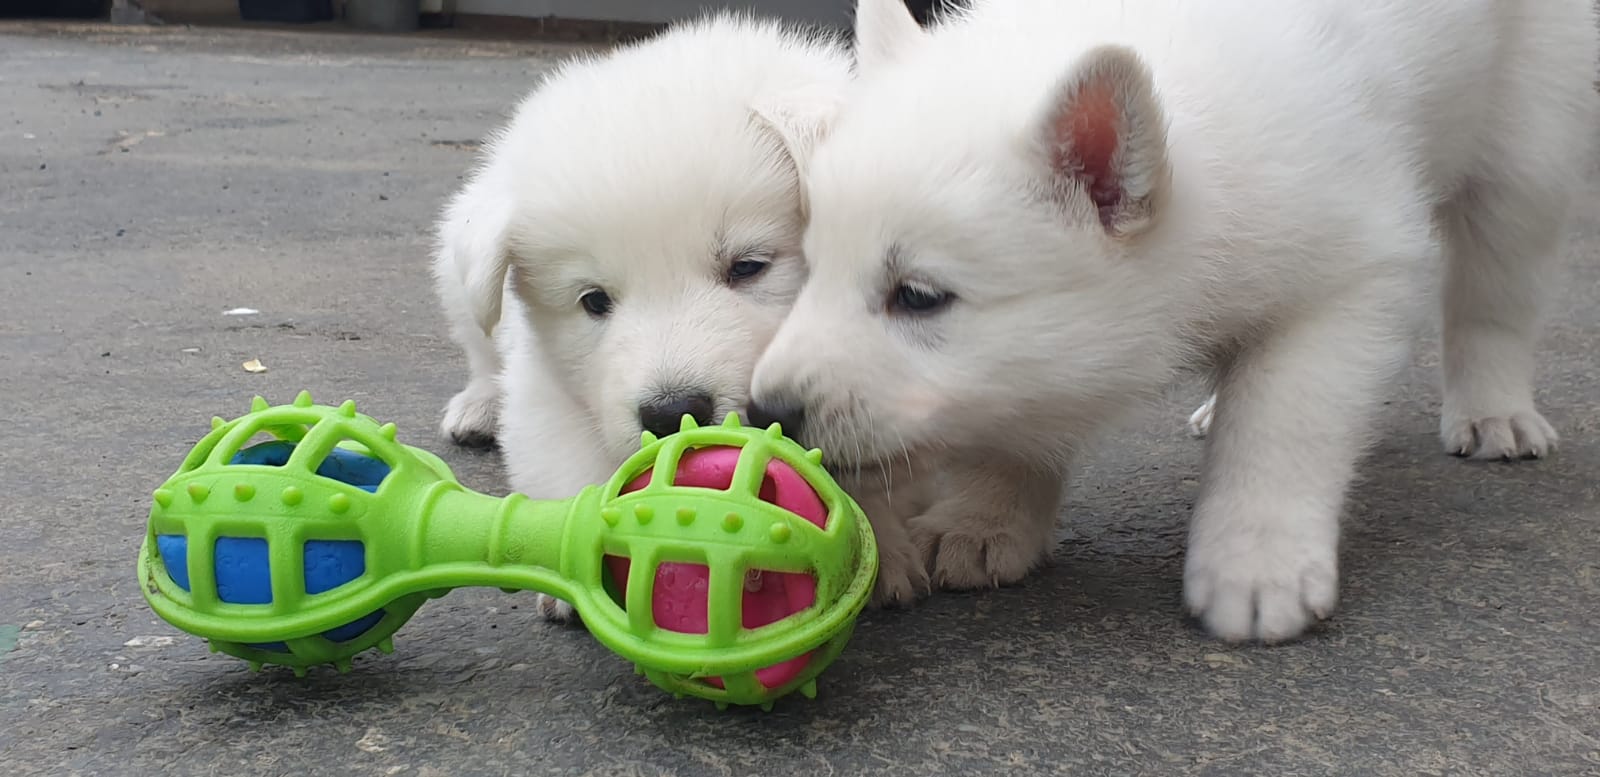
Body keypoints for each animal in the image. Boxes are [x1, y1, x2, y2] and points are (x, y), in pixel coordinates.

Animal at [429, 14, 926, 619]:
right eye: (593, 300)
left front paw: (882, 547)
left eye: (748, 266)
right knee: (479, 349)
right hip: (459, 272)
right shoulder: (547, 384)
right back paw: (478, 405)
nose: (673, 412)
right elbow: (568, 453)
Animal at [750, 0, 1599, 642]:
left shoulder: (1354, 270)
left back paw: (1495, 410)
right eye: (811, 268)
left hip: (1528, 133)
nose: (768, 409)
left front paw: (1256, 563)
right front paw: (985, 514)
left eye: (918, 296)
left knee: (1497, 289)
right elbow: (1017, 406)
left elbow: (1283, 419)